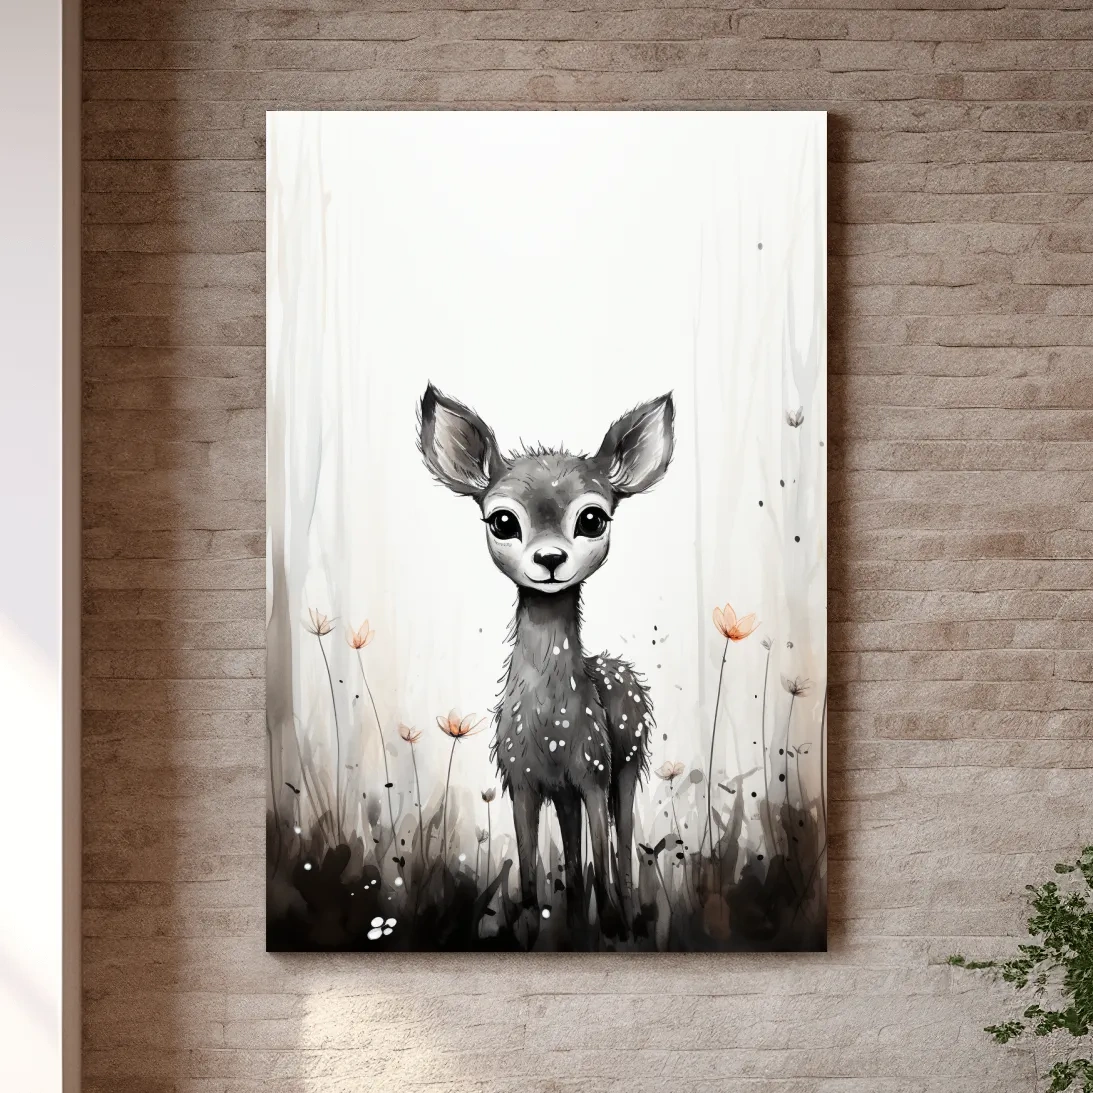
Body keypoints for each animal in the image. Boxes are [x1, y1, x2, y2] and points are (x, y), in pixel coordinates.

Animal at [417, 383, 675, 936]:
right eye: (502, 520)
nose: (551, 559)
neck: (552, 726)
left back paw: (624, 915)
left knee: (621, 844)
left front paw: (612, 925)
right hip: (566, 790)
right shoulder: (522, 780)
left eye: (593, 518)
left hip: (627, 761)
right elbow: (533, 872)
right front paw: (532, 925)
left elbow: (602, 852)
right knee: (574, 856)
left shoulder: (594, 769)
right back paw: (575, 918)